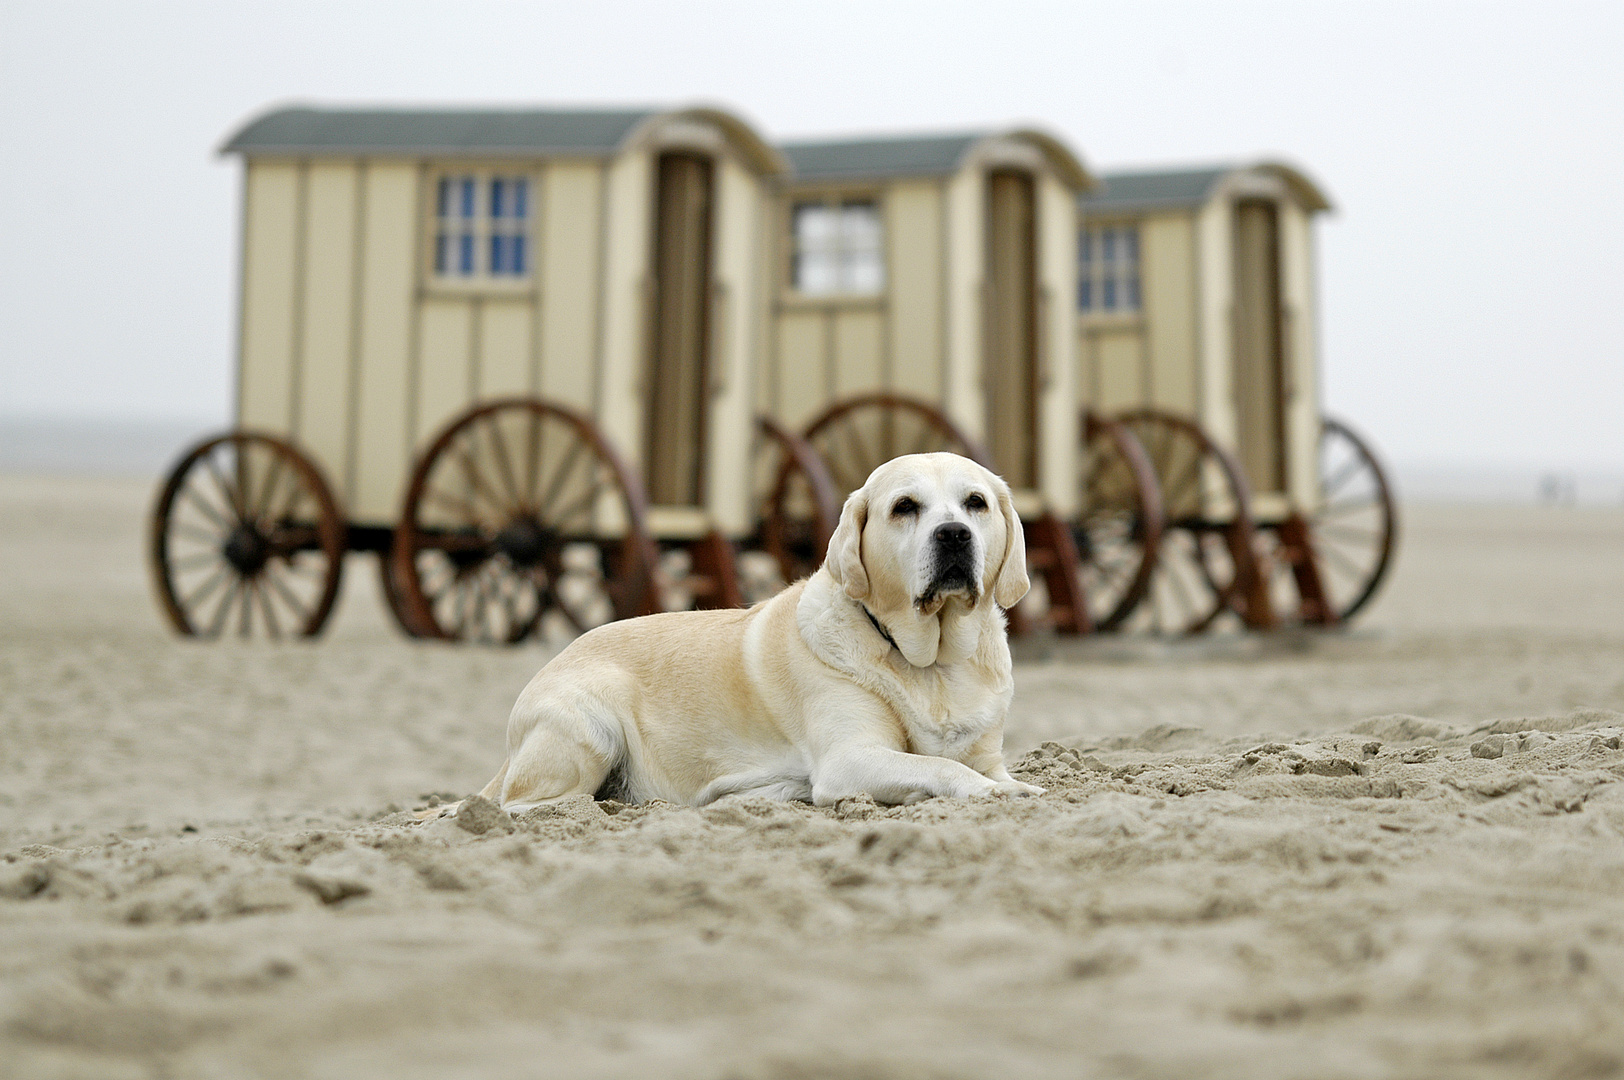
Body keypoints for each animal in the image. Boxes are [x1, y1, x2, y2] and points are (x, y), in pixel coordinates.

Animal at [457, 448, 1039, 808]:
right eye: (905, 507)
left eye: (976, 503)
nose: (954, 534)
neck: (935, 662)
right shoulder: (851, 759)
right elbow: (945, 770)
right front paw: (999, 795)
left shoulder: (986, 752)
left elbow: (979, 767)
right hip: (589, 722)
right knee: (534, 805)